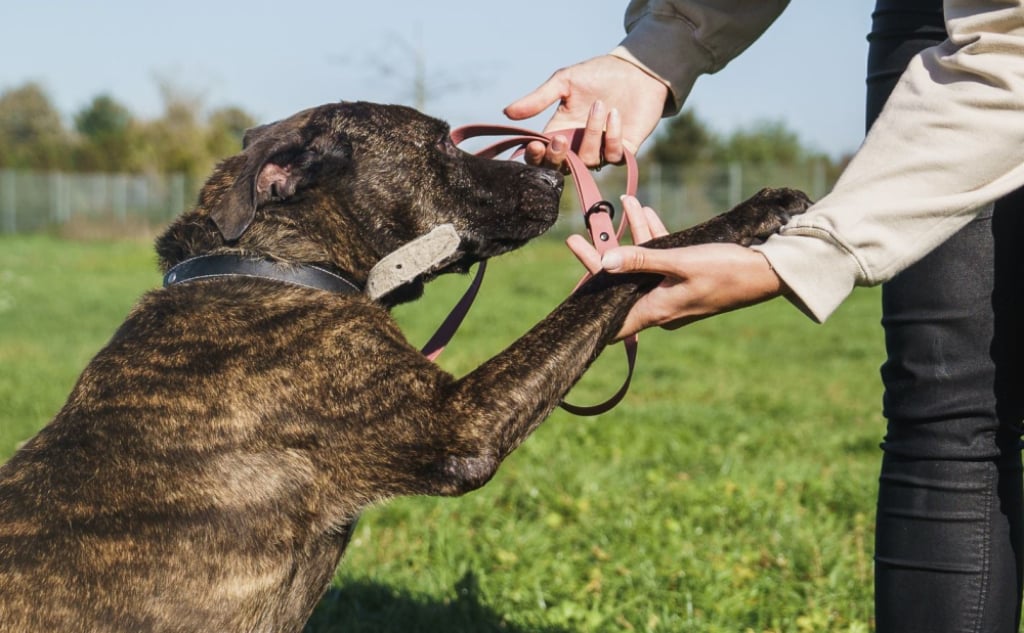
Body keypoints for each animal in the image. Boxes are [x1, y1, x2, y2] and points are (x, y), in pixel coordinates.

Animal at [0, 100, 806, 626]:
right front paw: (747, 213)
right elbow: (608, 279)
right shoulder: (460, 424)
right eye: (441, 146)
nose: (554, 176)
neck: (270, 264)